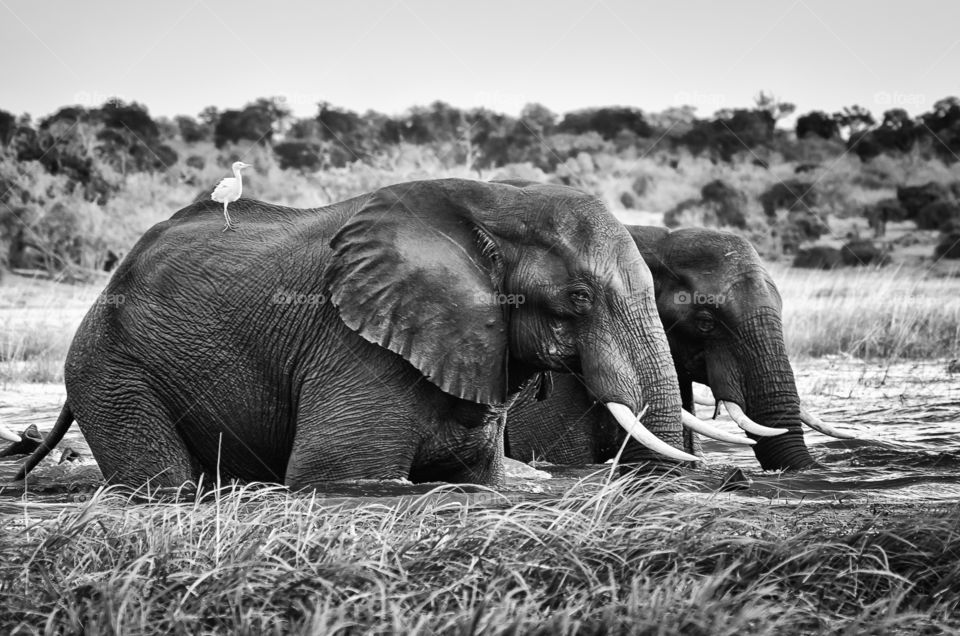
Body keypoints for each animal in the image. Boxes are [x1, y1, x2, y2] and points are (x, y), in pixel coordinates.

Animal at [15, 181, 736, 490]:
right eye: (578, 299)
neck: (498, 204)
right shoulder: (355, 346)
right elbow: (334, 473)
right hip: (111, 369)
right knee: (161, 476)